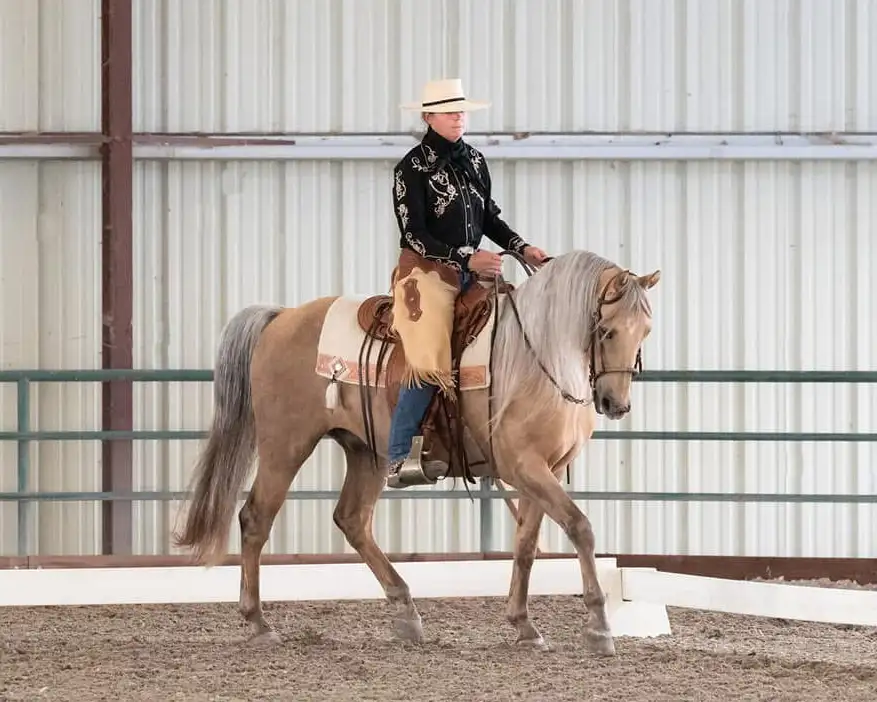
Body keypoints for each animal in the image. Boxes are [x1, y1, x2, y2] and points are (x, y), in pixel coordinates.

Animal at [173, 249, 661, 656]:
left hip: (365, 451)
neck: (534, 355)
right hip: (285, 445)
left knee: (352, 520)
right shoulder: (525, 466)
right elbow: (580, 528)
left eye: (646, 330)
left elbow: (526, 544)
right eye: (606, 330)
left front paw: (524, 626)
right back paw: (258, 623)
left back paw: (406, 613)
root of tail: (282, 317)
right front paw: (599, 627)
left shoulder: (547, 471)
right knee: (255, 519)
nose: (615, 404)